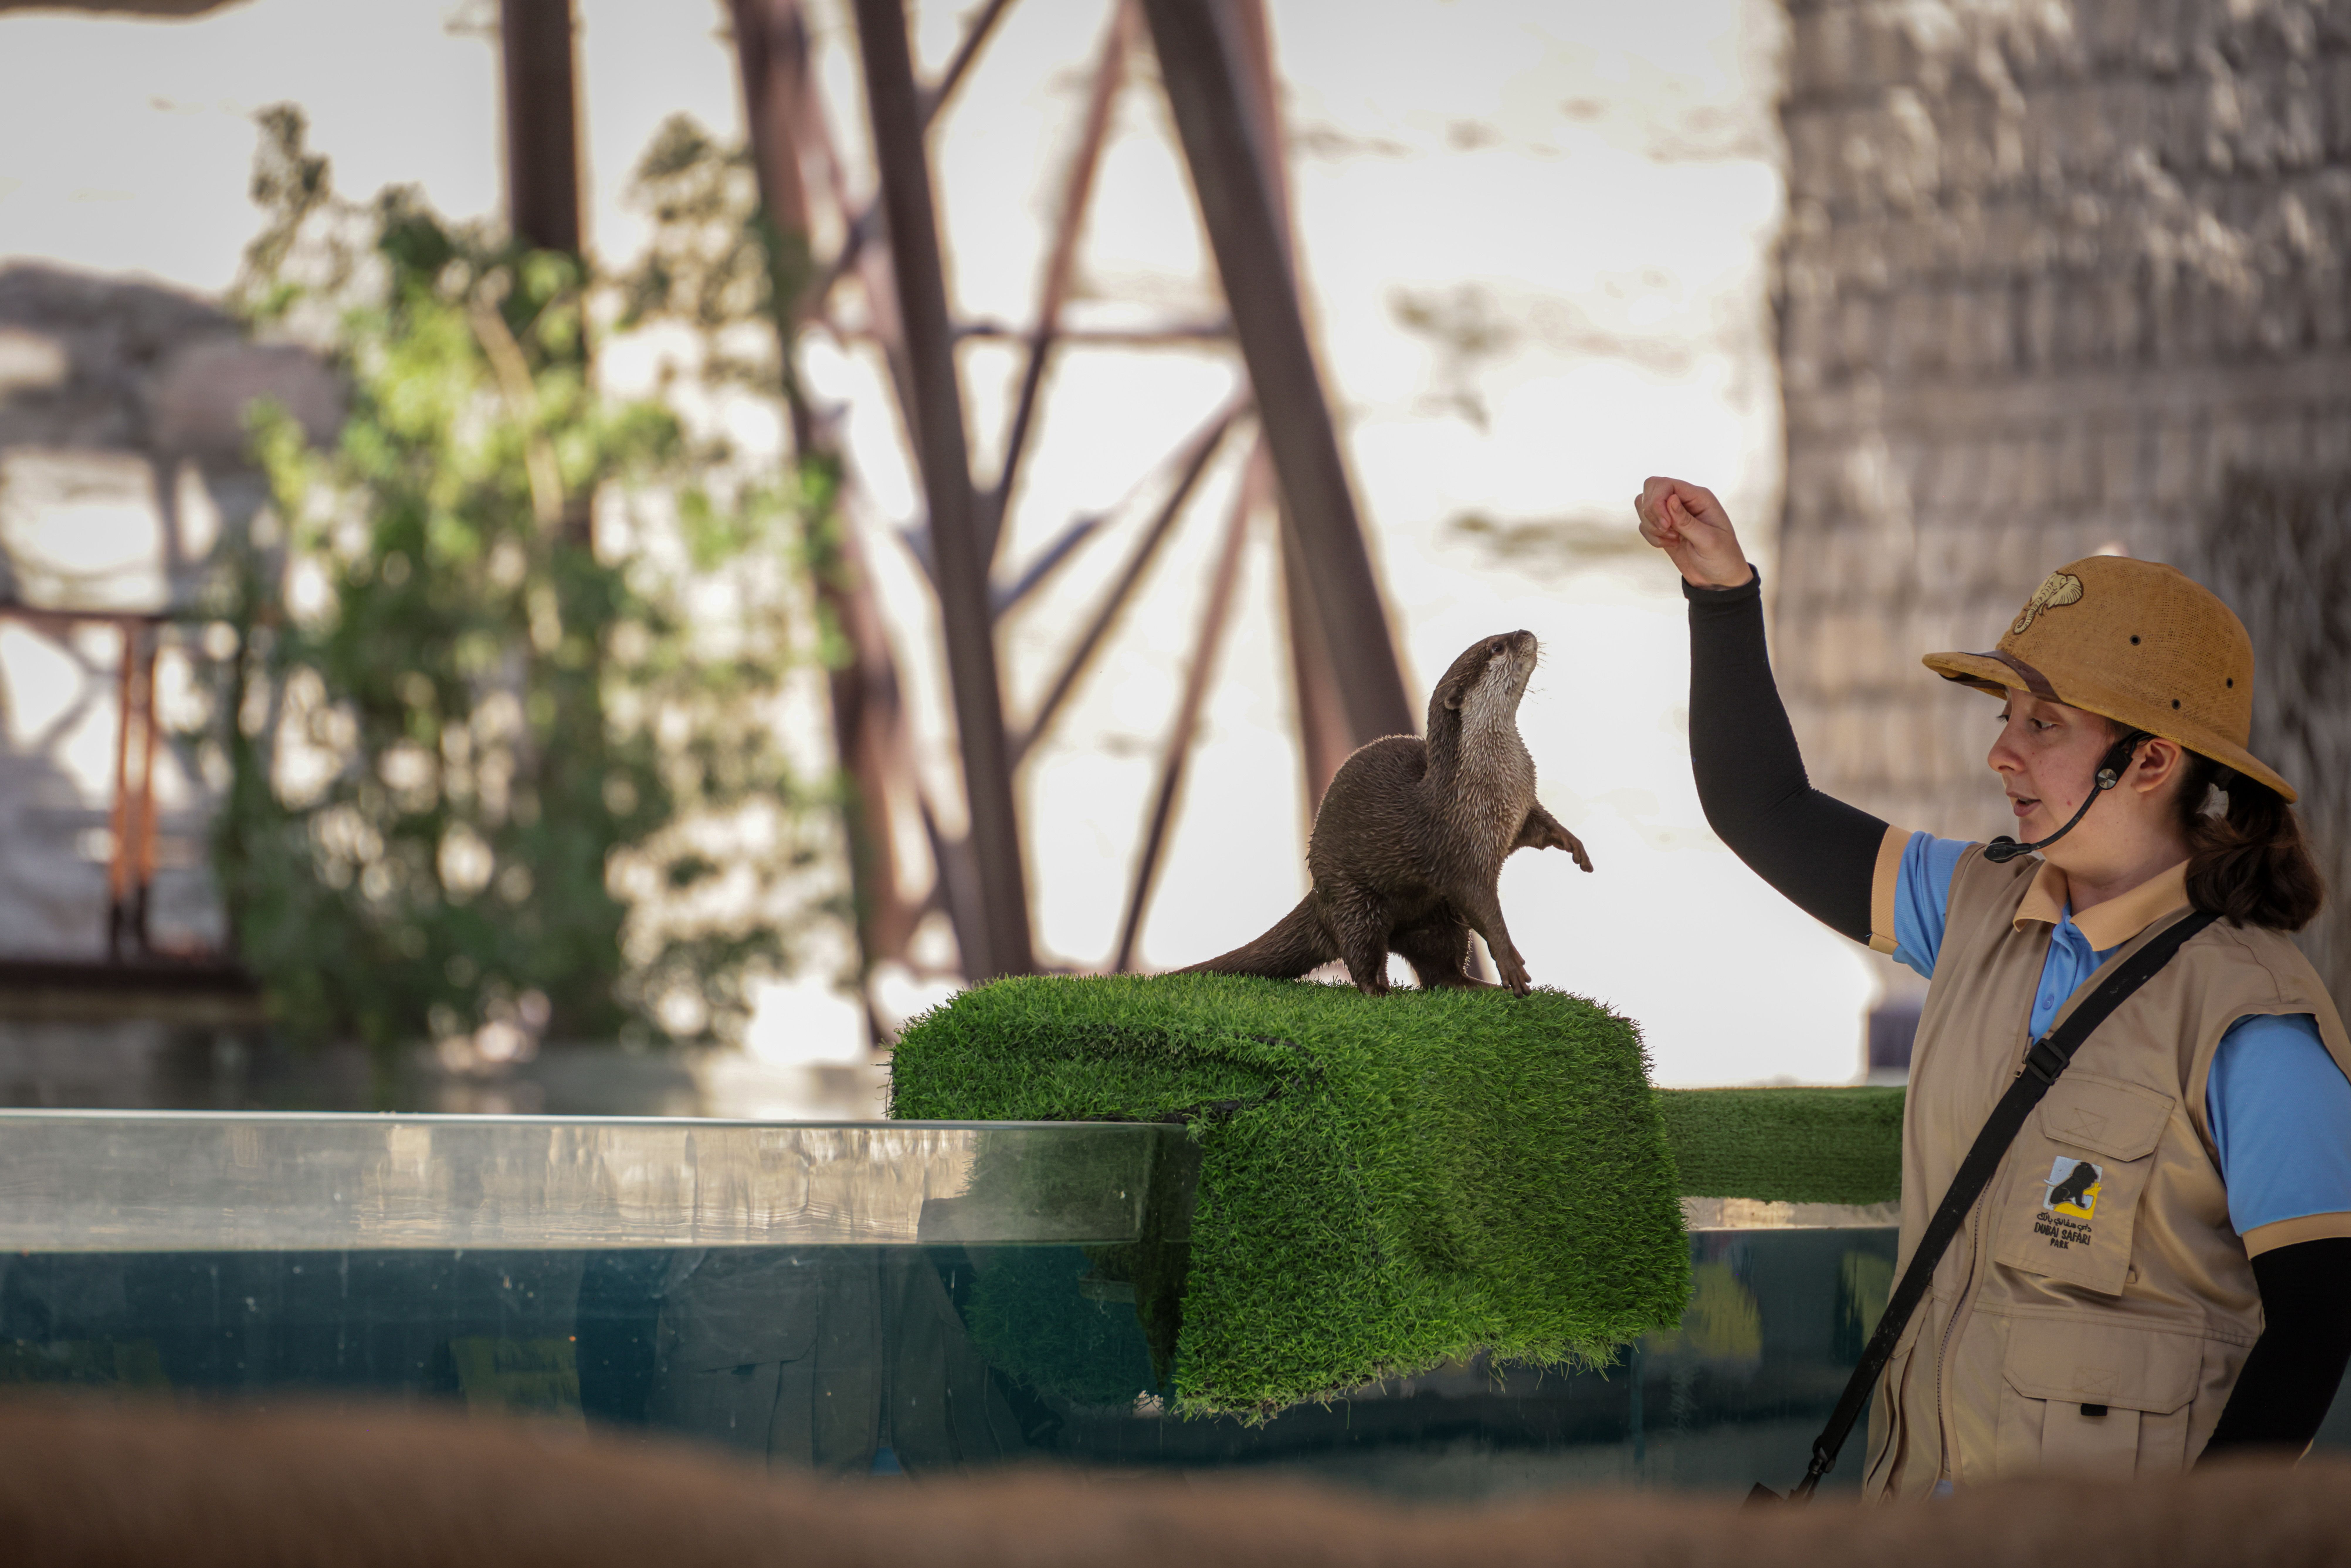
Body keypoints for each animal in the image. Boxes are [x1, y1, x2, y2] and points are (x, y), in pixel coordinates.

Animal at [1179, 629, 1590, 996]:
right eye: (1496, 646)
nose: (1525, 632)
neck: (1494, 782)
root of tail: (1317, 896)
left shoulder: (1520, 808)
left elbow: (1540, 827)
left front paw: (1574, 845)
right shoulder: (1457, 847)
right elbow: (1483, 908)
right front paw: (1510, 964)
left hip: (1437, 917)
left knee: (1440, 971)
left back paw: (1474, 985)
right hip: (1353, 899)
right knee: (1361, 951)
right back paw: (1380, 992)